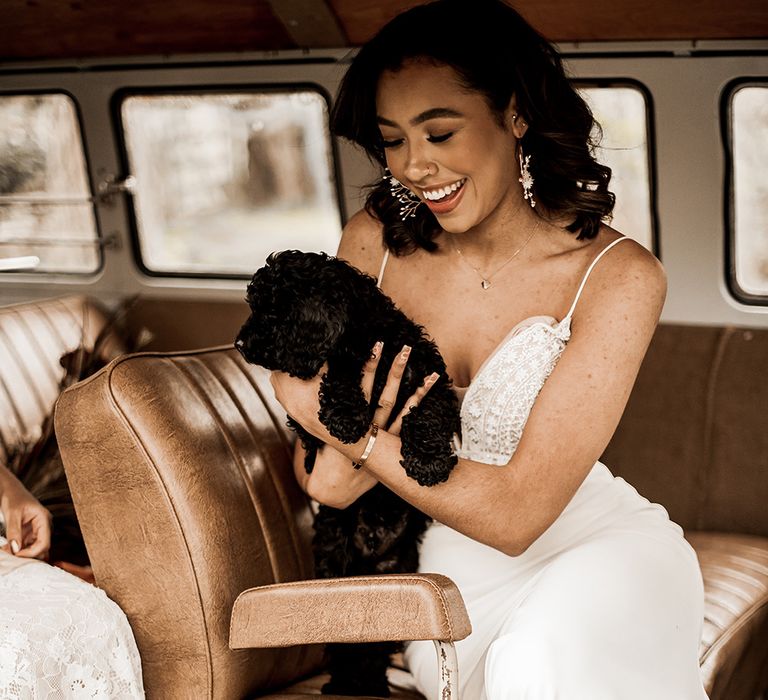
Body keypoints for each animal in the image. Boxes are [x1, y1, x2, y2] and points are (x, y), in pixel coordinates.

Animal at [237, 249, 460, 696]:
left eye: (269, 311)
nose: (238, 343)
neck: (366, 335)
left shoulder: (428, 378)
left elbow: (430, 411)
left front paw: (428, 462)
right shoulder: (313, 416)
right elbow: (337, 377)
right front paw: (346, 418)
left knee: (373, 645)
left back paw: (367, 684)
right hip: (334, 573)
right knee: (346, 644)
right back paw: (348, 684)